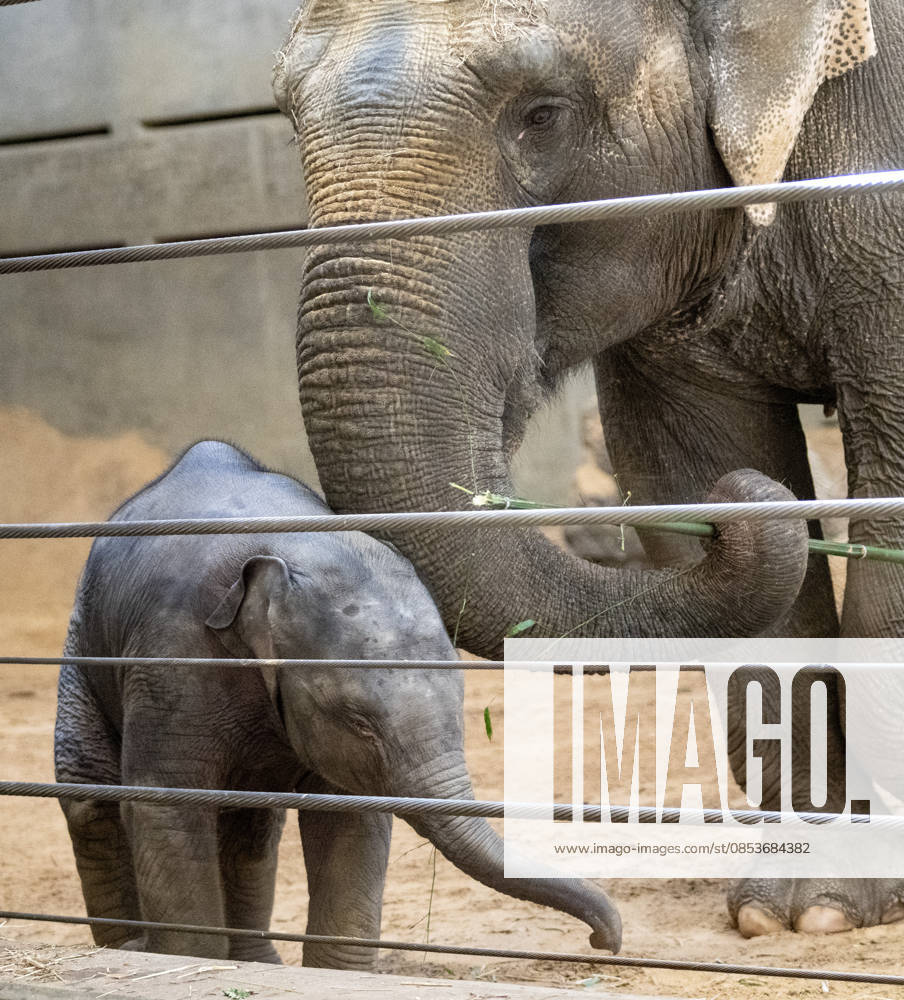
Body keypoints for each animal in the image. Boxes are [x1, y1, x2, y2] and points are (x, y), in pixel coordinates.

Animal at [54, 440, 626, 968]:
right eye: (358, 721)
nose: (606, 942)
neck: (294, 551)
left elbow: (354, 816)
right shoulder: (172, 660)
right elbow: (164, 804)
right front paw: (189, 959)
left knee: (252, 828)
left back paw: (256, 961)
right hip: (83, 648)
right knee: (89, 796)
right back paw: (132, 949)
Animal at [272, 0, 904, 937]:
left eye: (543, 114)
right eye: (289, 125)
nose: (743, 511)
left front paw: (832, 904)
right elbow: (687, 468)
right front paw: (787, 904)